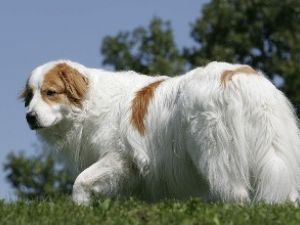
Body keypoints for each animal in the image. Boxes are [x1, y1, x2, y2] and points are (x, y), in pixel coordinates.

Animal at [21, 59, 300, 204]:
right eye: (30, 96)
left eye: (50, 93)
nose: (29, 117)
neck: (89, 103)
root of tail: (238, 77)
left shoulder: (121, 158)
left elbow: (81, 181)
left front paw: (80, 208)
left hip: (215, 154)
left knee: (236, 194)